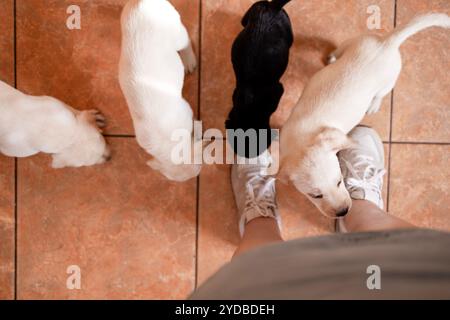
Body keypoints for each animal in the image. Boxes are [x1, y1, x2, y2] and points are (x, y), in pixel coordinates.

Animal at [280, 12, 448, 218]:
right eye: (316, 195)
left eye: (339, 181)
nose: (343, 212)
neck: (302, 141)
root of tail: (386, 44)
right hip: (356, 41)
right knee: (341, 49)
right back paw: (332, 58)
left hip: (388, 82)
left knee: (380, 94)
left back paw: (373, 104)